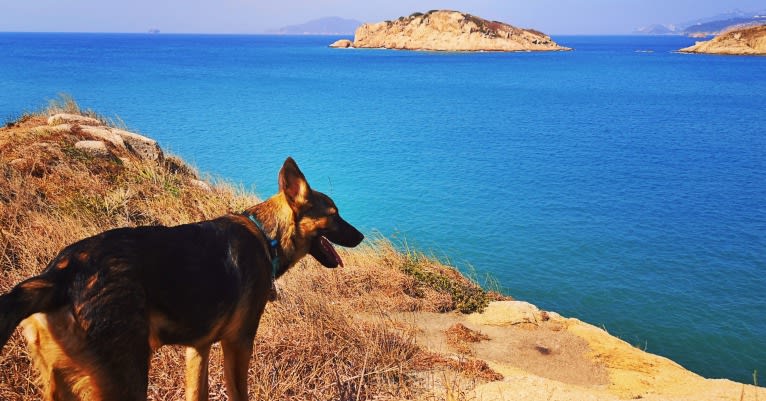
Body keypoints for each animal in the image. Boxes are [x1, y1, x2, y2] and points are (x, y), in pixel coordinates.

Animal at [0, 156, 364, 400]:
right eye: (335, 216)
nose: (360, 236)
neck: (265, 235)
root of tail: (61, 274)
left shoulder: (198, 349)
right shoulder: (238, 344)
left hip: (60, 383)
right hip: (125, 379)